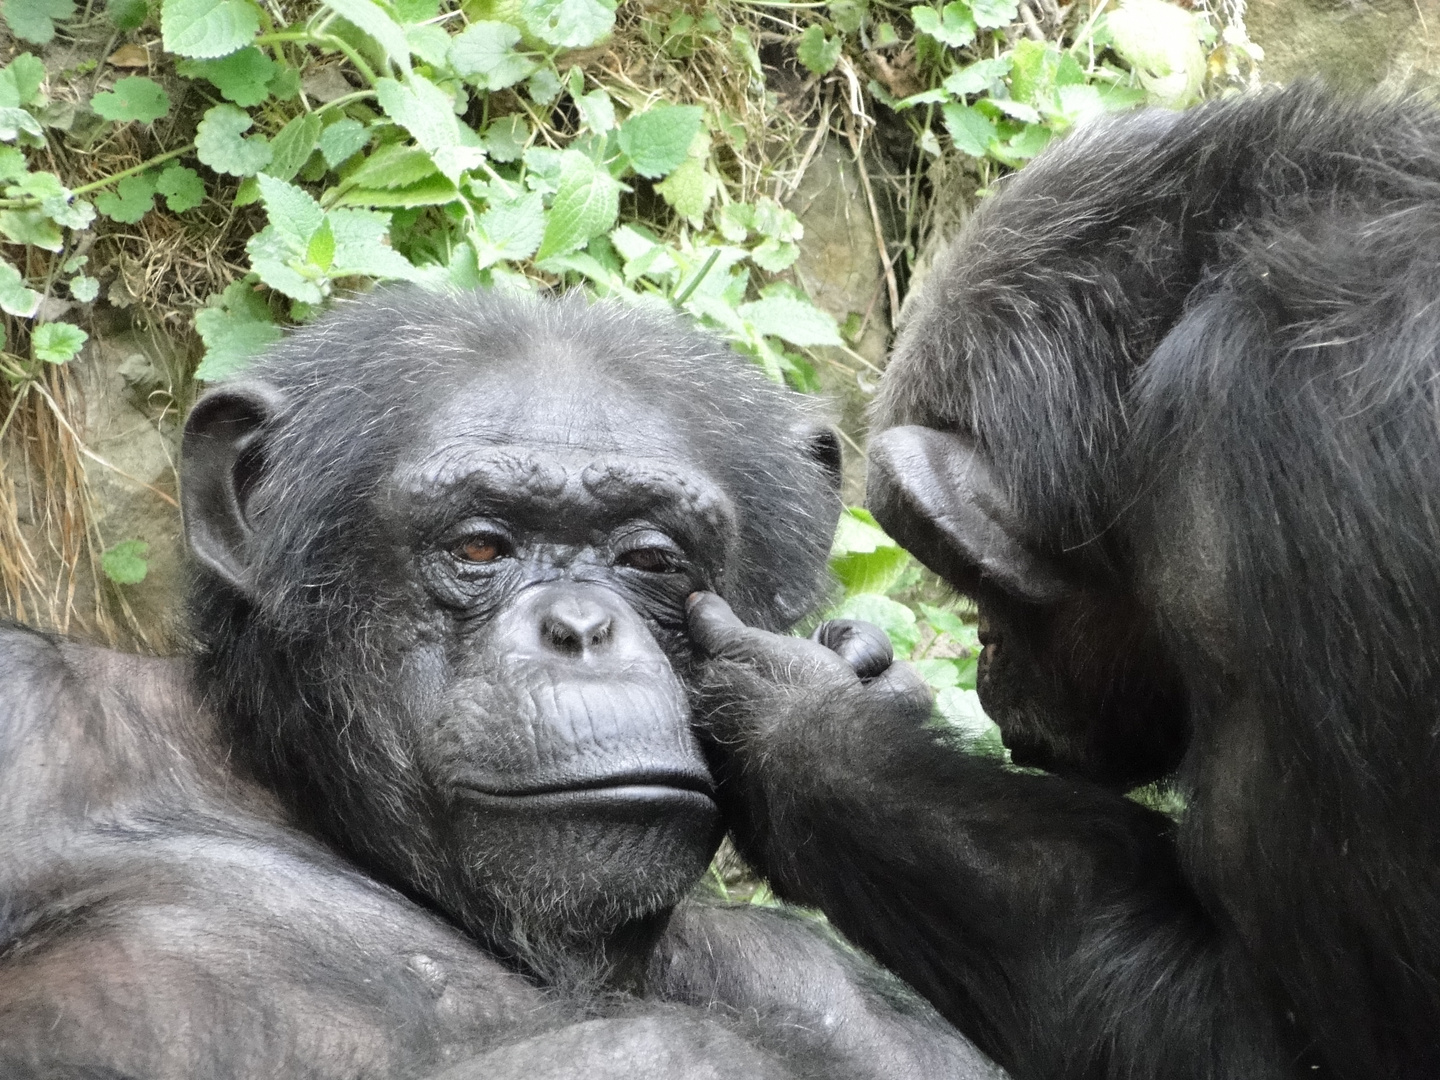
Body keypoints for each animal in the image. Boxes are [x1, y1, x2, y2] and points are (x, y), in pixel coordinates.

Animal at [0, 289, 1002, 1080]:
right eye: (482, 545)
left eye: (651, 560)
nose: (583, 629)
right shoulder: (28, 711)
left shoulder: (818, 981)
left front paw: (825, 712)